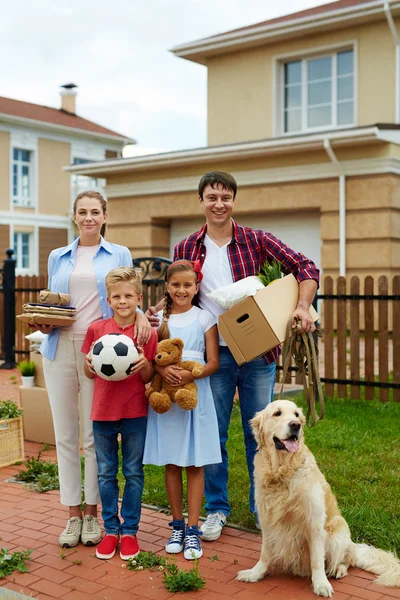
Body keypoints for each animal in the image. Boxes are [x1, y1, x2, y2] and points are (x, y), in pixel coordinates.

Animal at [236, 398, 400, 596]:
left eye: (296, 415)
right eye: (277, 413)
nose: (295, 425)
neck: (283, 471)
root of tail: (353, 546)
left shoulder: (314, 522)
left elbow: (317, 560)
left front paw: (321, 584)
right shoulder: (267, 519)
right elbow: (265, 553)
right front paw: (255, 573)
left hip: (337, 535)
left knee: (346, 560)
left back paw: (338, 570)